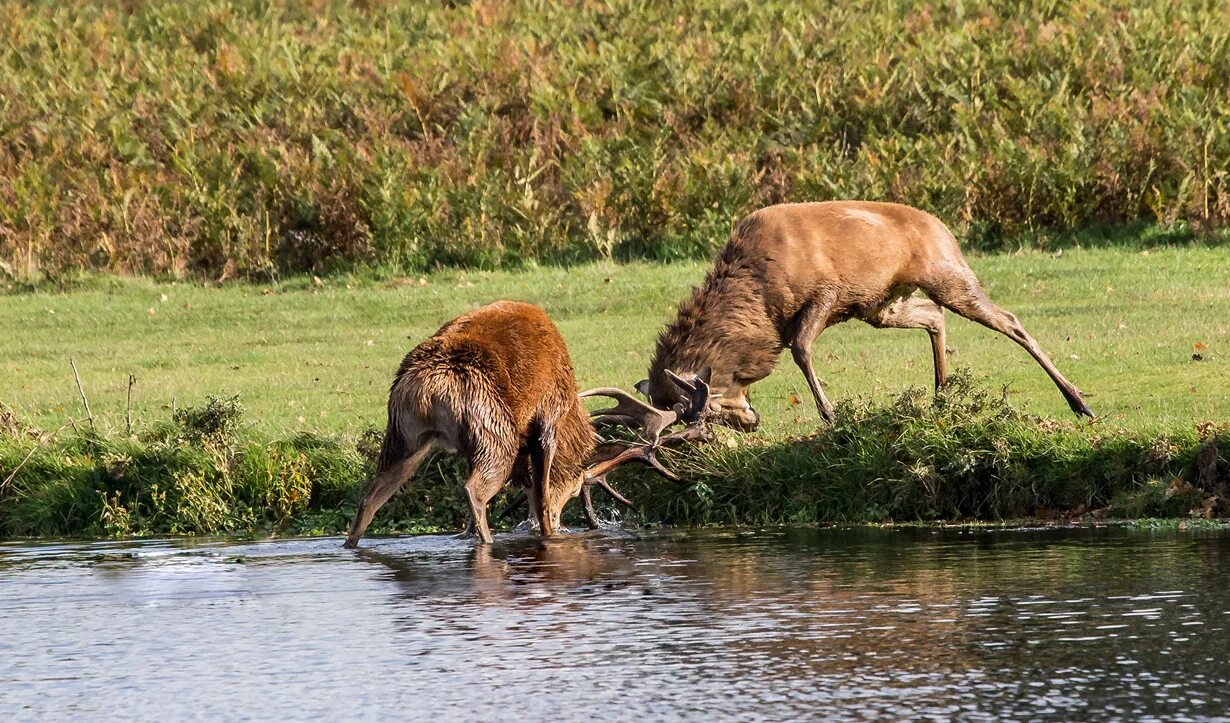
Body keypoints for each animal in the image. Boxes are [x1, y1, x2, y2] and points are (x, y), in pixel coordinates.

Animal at [639, 200, 1092, 430]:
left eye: (709, 409)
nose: (751, 422)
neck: (761, 303)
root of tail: (944, 227)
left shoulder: (826, 292)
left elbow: (801, 349)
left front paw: (831, 415)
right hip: (883, 305)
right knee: (934, 316)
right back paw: (941, 396)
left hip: (947, 274)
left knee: (1008, 319)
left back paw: (1078, 402)